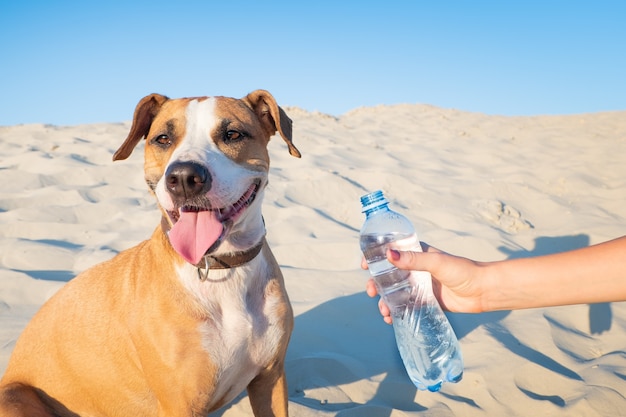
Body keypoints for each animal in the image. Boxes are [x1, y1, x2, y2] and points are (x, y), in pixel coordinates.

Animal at [0, 89, 300, 414]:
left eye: (232, 134)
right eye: (163, 139)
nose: (184, 177)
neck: (224, 269)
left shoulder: (270, 379)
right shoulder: (180, 402)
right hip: (14, 398)